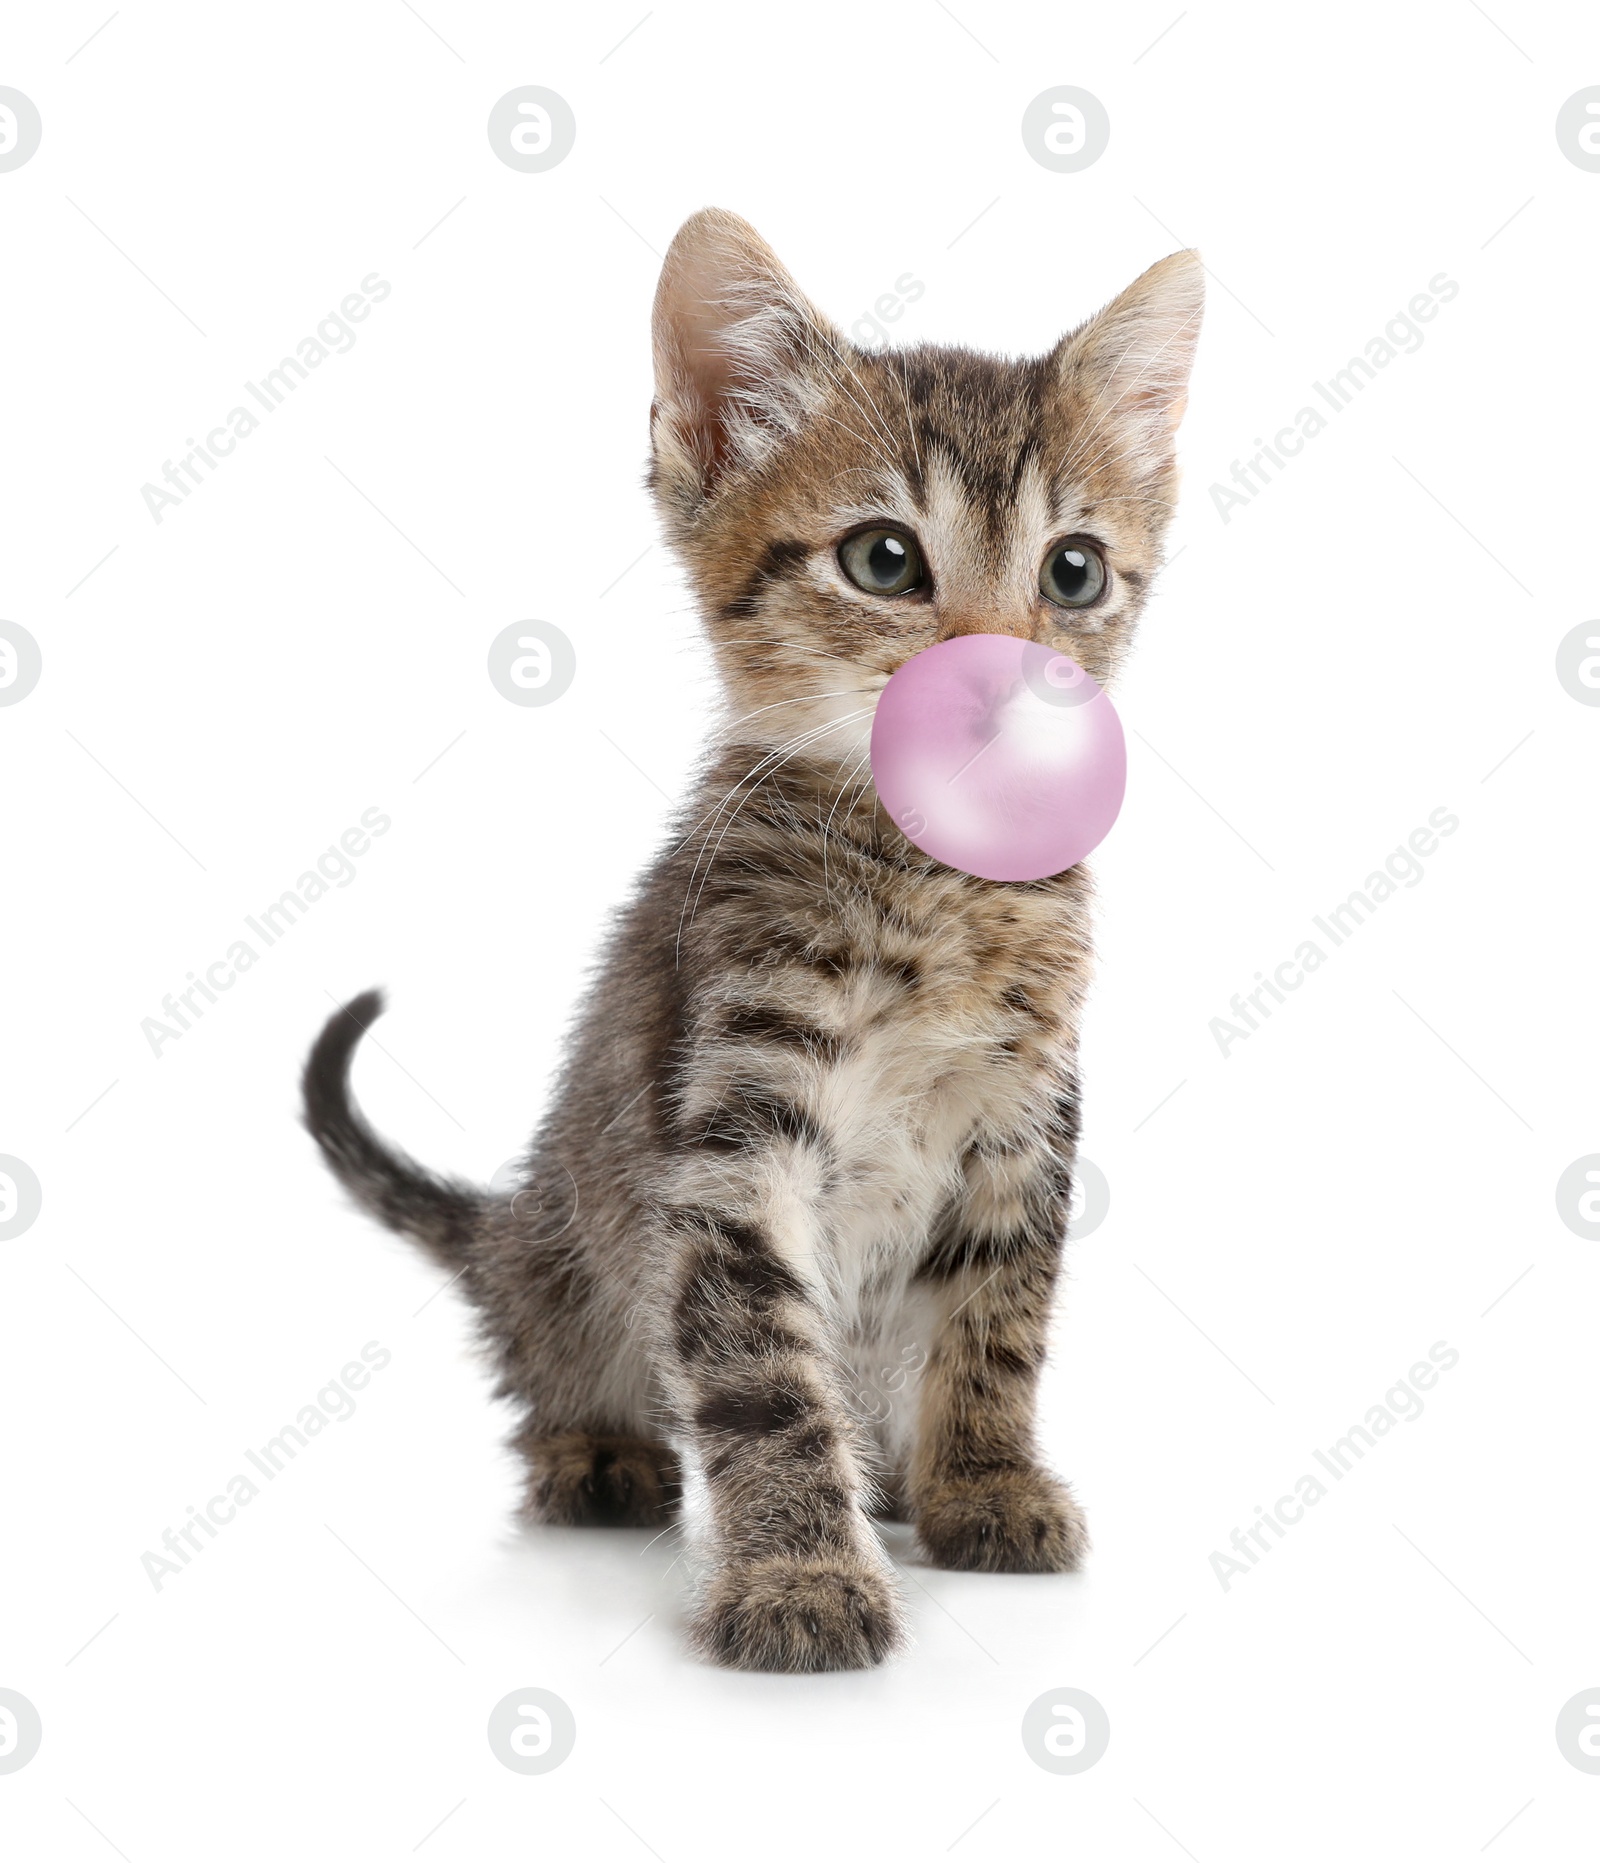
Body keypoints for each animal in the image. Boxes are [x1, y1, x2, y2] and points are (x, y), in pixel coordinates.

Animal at [303, 211, 1199, 1684]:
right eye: (885, 559)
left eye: (1072, 570)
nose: (997, 675)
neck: (933, 885)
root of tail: (510, 1227)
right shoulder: (731, 1132)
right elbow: (764, 1371)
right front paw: (799, 1570)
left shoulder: (1026, 1121)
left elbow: (998, 1318)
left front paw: (982, 1480)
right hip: (565, 1263)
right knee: (561, 1359)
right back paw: (597, 1447)